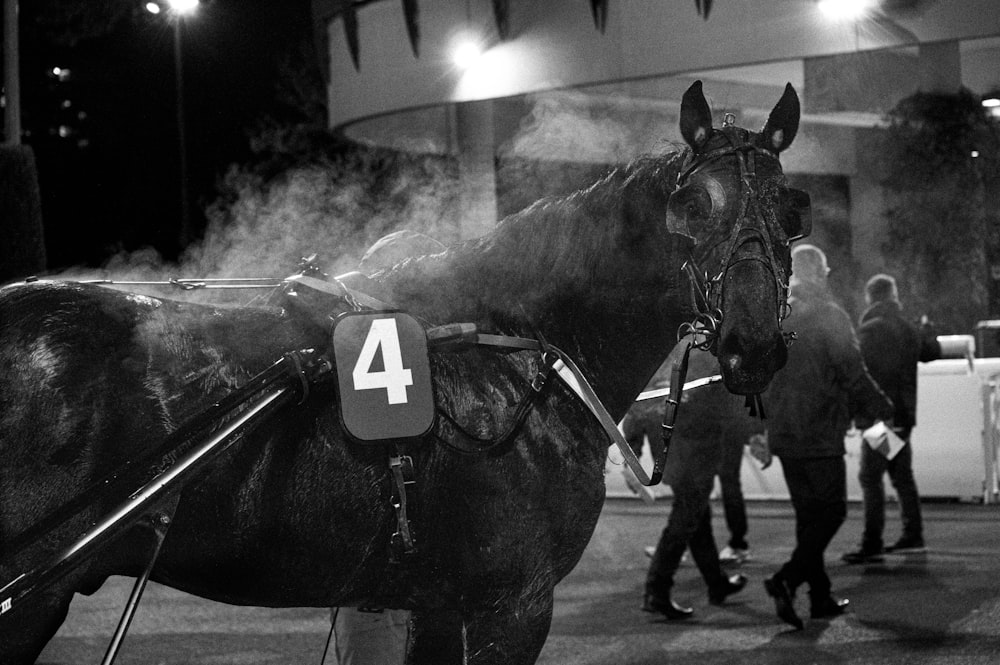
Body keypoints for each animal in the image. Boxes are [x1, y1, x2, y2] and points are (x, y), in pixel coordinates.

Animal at [0, 80, 804, 660]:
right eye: (692, 203)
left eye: (791, 208)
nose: (752, 345)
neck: (506, 351)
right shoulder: (514, 604)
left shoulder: (438, 602)